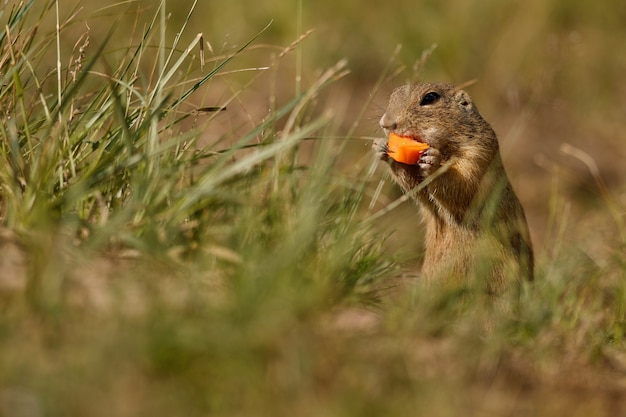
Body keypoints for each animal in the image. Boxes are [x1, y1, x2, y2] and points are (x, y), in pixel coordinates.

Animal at [372, 82, 532, 292]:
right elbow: (418, 189)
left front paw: (433, 162)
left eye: (430, 98)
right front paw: (381, 147)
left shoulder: (478, 154)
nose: (385, 123)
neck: (445, 147)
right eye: (393, 94)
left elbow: (464, 185)